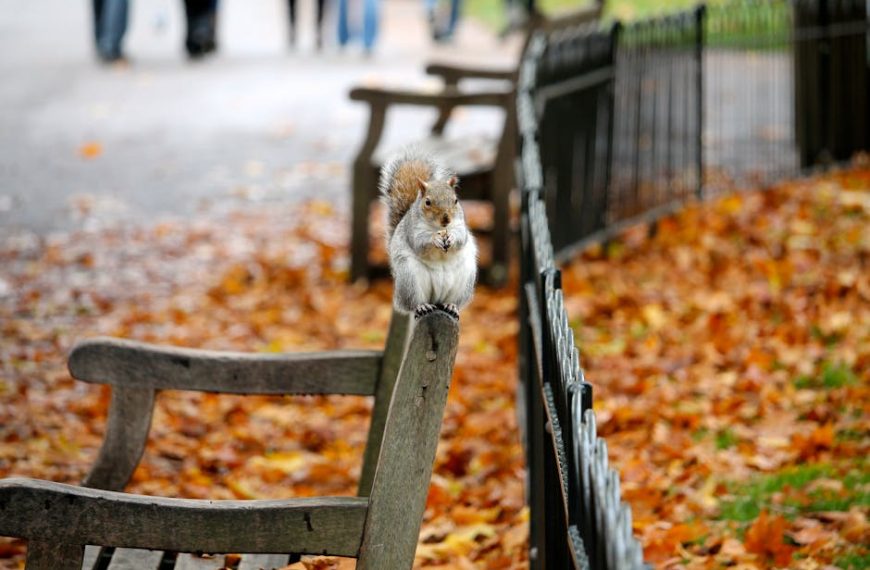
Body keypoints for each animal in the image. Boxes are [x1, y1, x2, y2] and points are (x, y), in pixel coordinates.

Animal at [379, 149, 478, 320]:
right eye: (427, 202)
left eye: (456, 200)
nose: (446, 219)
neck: (439, 228)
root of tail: (436, 299)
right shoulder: (412, 230)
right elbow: (419, 243)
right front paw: (435, 239)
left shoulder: (460, 226)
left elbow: (461, 238)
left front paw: (451, 237)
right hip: (409, 278)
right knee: (413, 303)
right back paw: (422, 306)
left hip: (465, 278)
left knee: (455, 301)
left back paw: (451, 306)